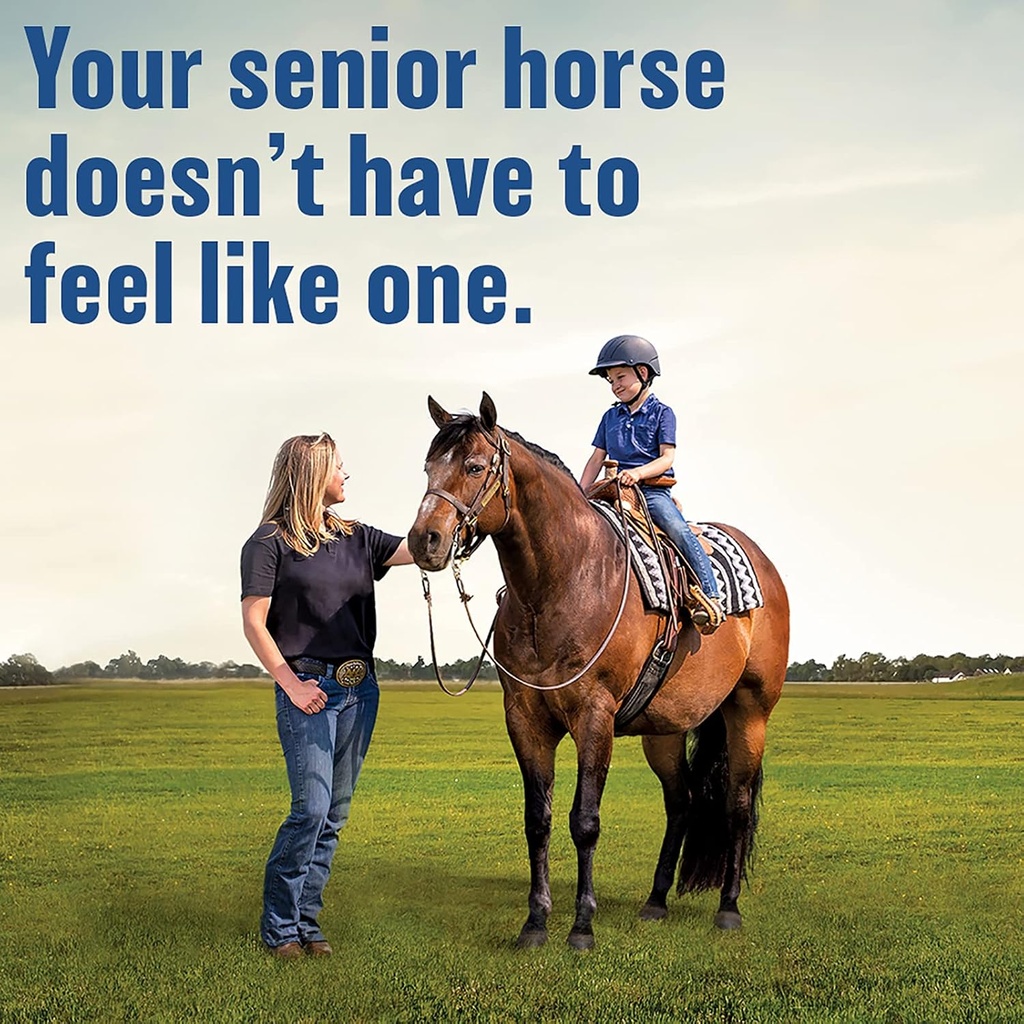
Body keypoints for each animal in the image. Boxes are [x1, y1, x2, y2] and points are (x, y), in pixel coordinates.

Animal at [409, 394, 790, 950]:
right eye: (429, 468)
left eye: (475, 467)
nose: (425, 540)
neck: (563, 582)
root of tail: (764, 564)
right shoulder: (525, 717)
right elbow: (538, 820)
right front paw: (535, 923)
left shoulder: (595, 717)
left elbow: (584, 820)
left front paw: (582, 926)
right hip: (665, 731)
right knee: (682, 801)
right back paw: (655, 902)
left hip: (749, 711)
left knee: (736, 804)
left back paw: (728, 909)